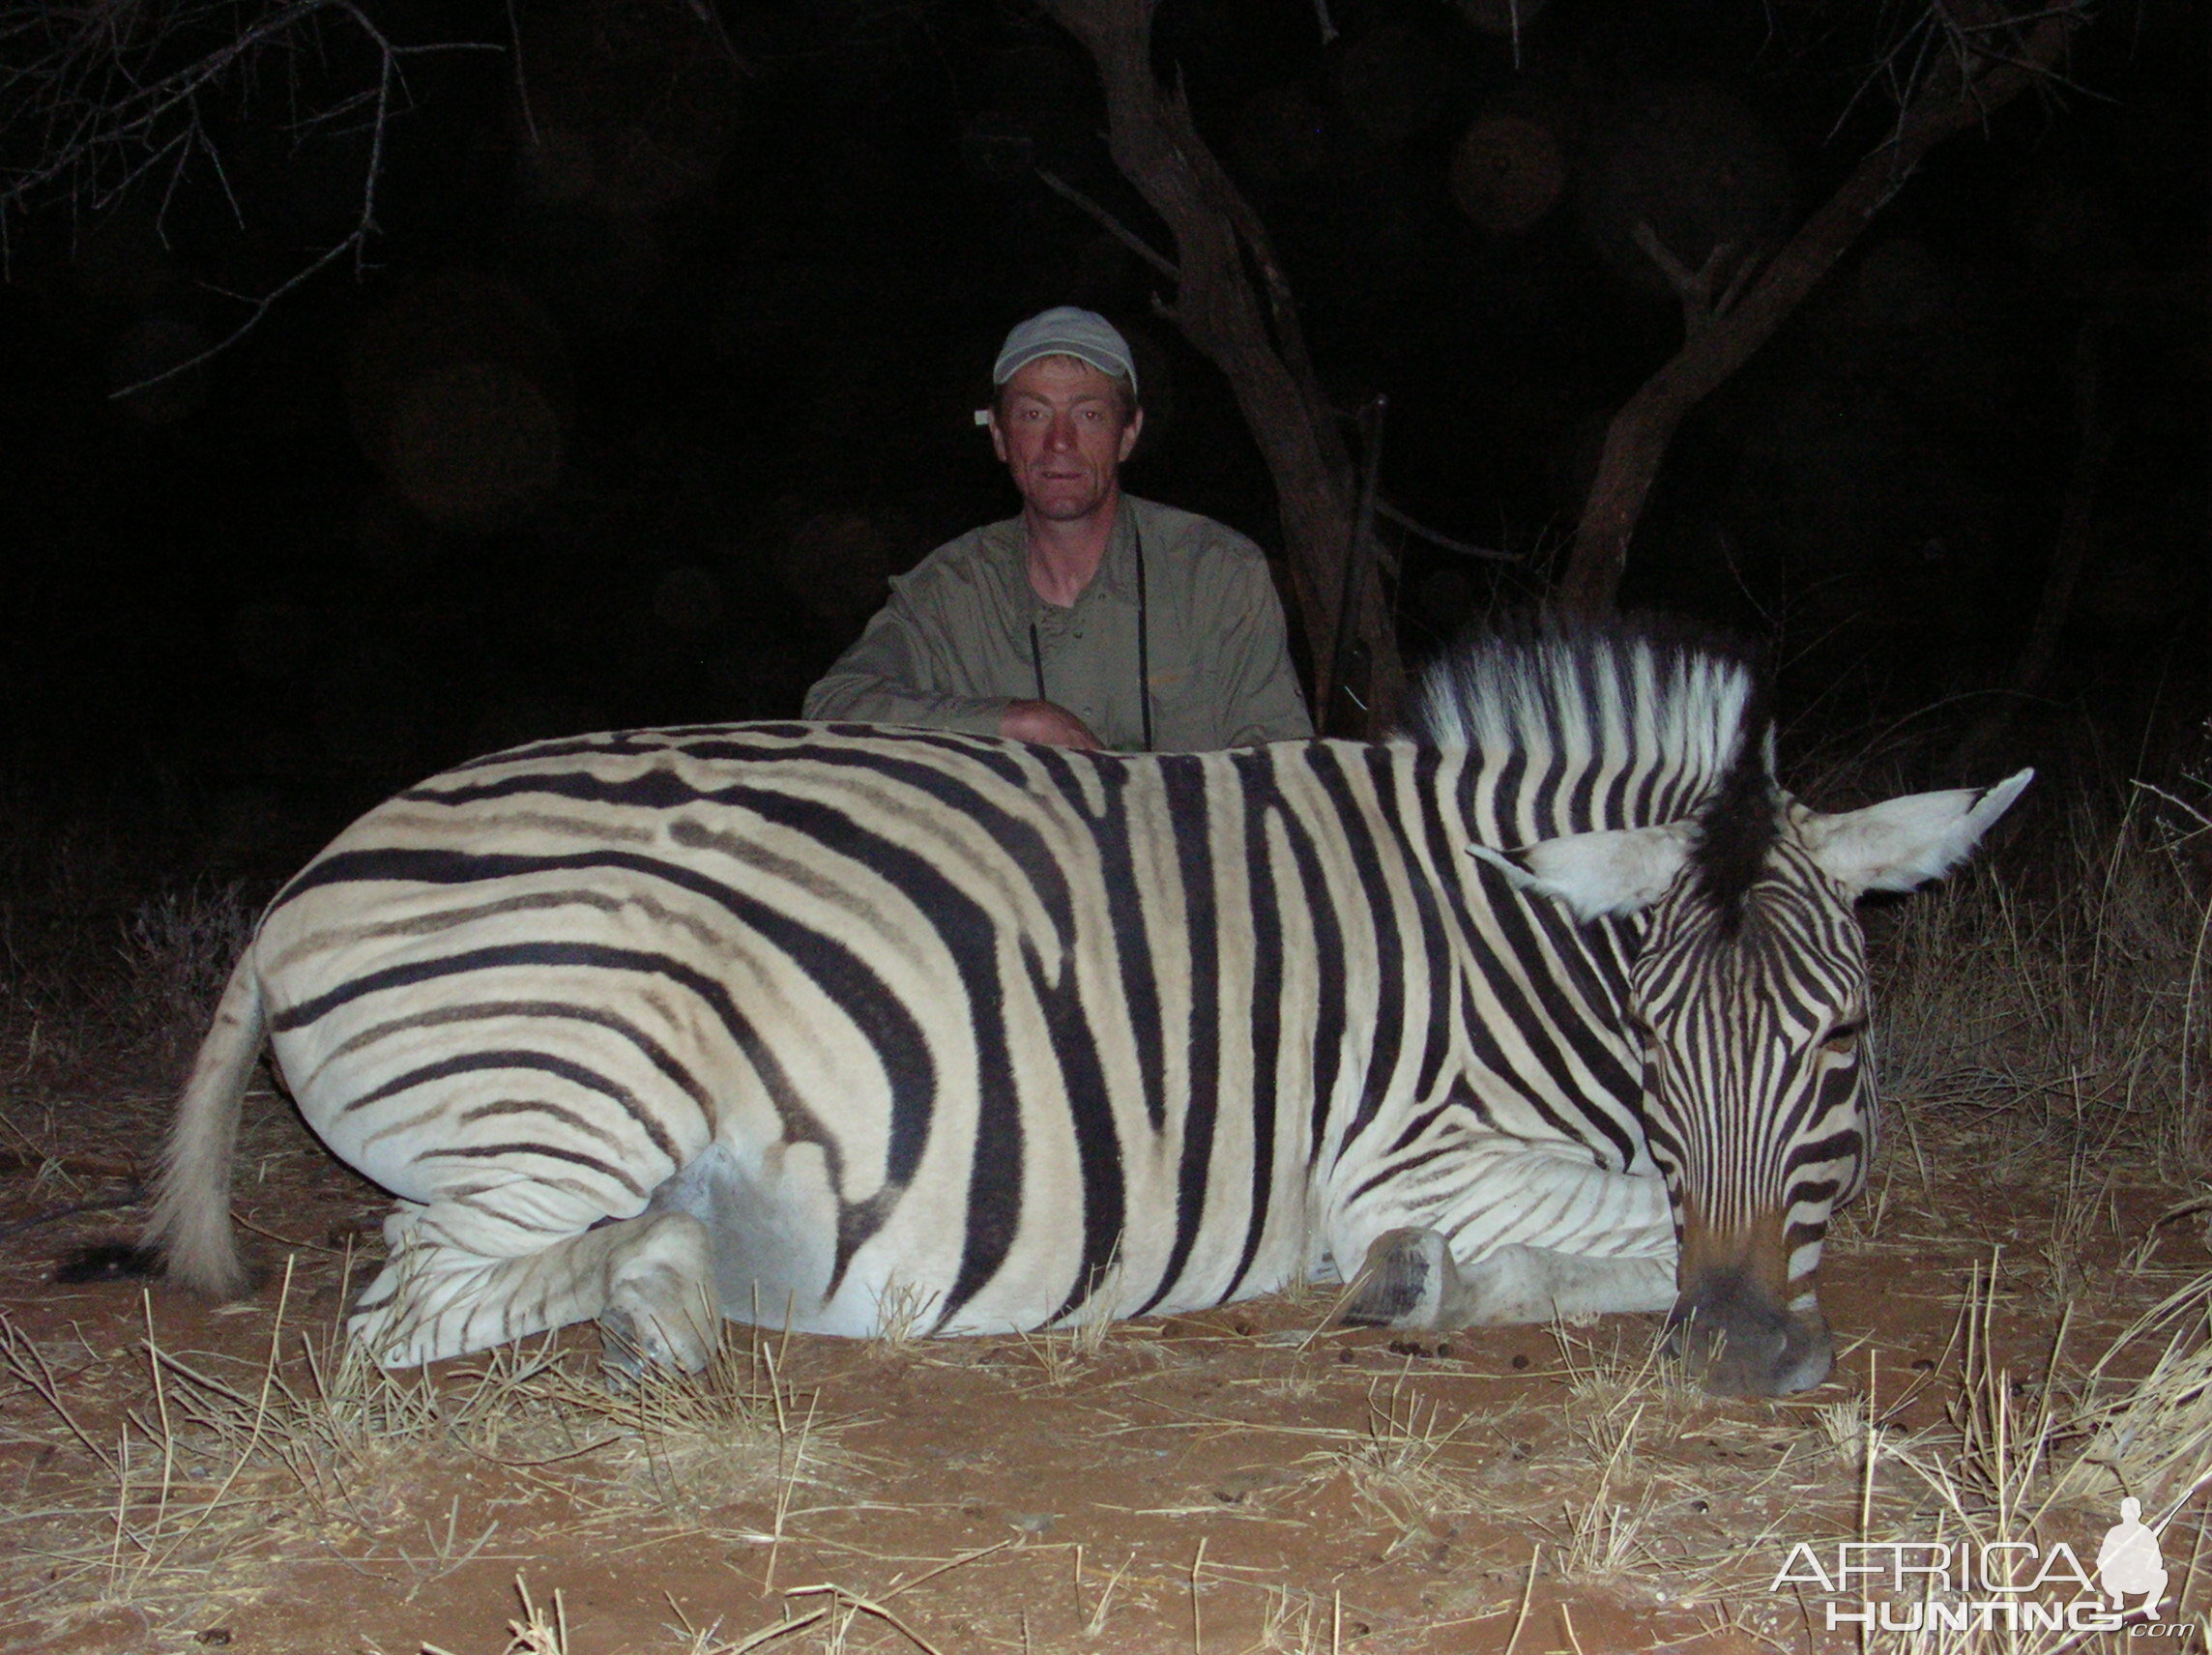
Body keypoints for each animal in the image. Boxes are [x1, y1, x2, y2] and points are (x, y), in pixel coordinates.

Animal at [147, 619, 2025, 1398]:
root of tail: (301, 889)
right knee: (402, 1305)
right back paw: (665, 1304)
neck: (1510, 934)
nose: (1741, 1359)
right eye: (1655, 1041)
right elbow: (1639, 1222)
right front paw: (1424, 1284)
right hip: (579, 1090)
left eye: (1837, 1044)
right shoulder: (1407, 1152)